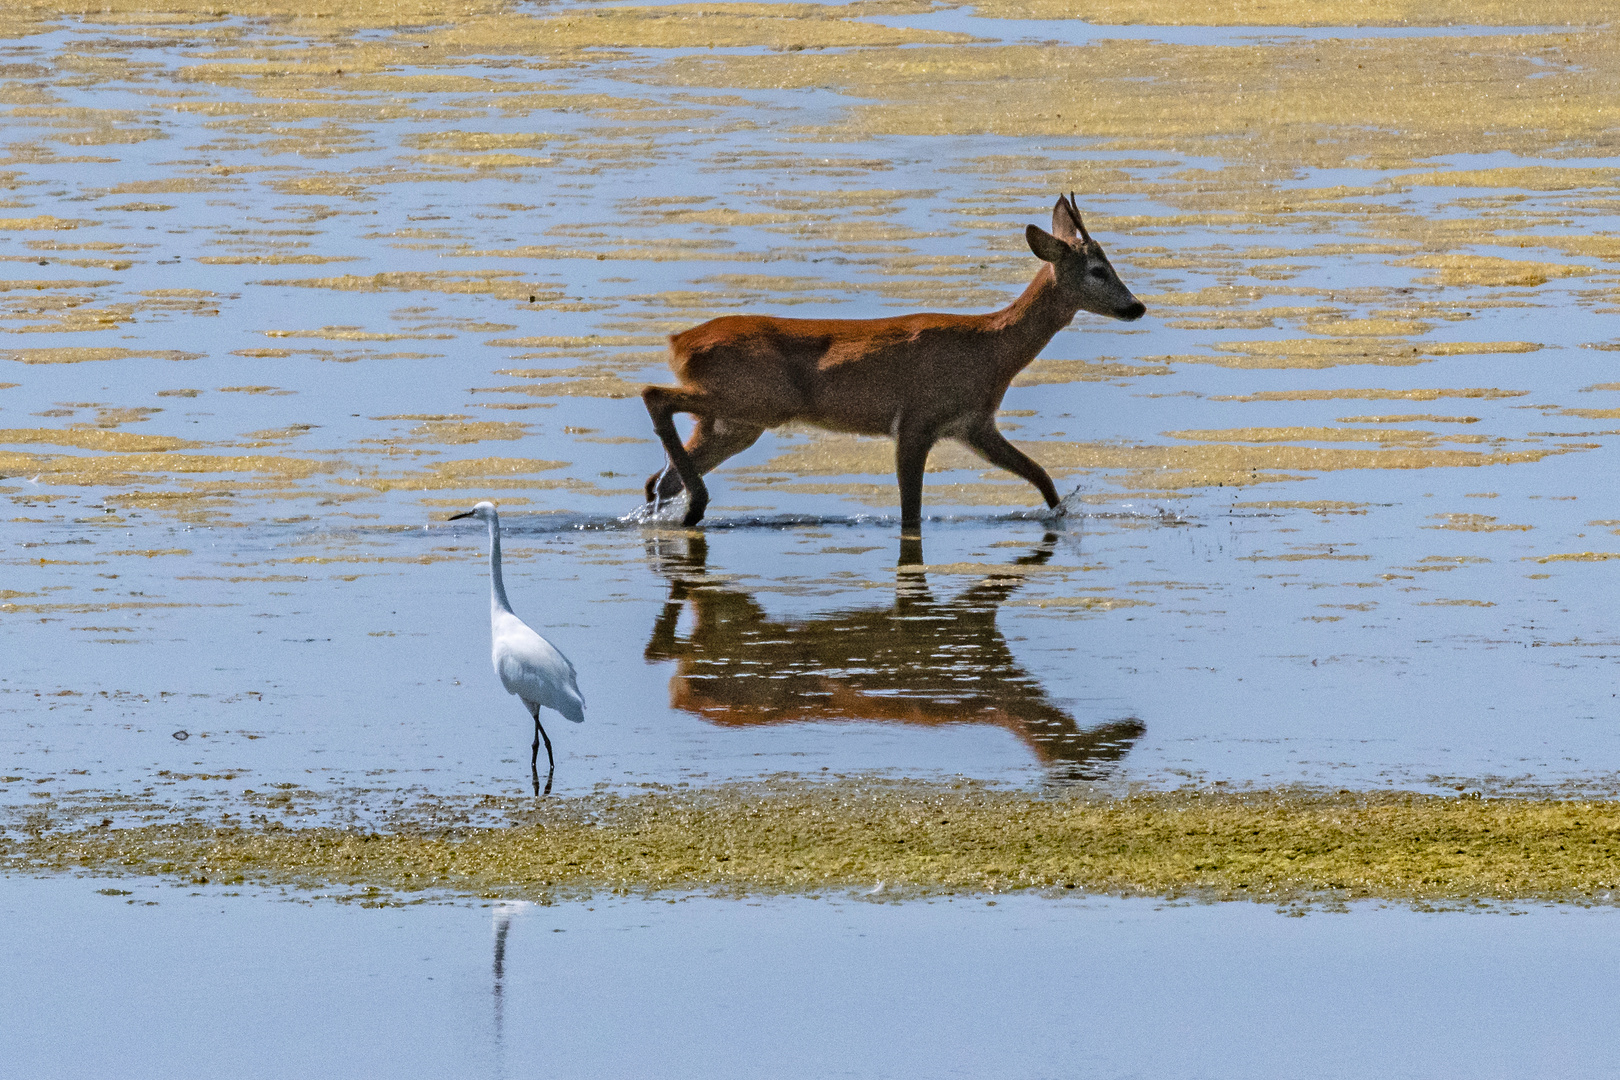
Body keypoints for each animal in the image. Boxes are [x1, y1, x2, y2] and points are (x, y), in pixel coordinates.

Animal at [638, 196, 1146, 534]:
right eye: (1098, 269)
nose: (1137, 307)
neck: (990, 350)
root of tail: (678, 343)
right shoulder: (916, 421)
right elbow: (910, 512)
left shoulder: (974, 425)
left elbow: (1042, 475)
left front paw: (1062, 516)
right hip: (755, 399)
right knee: (653, 395)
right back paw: (697, 505)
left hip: (737, 422)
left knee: (659, 476)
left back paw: (676, 509)